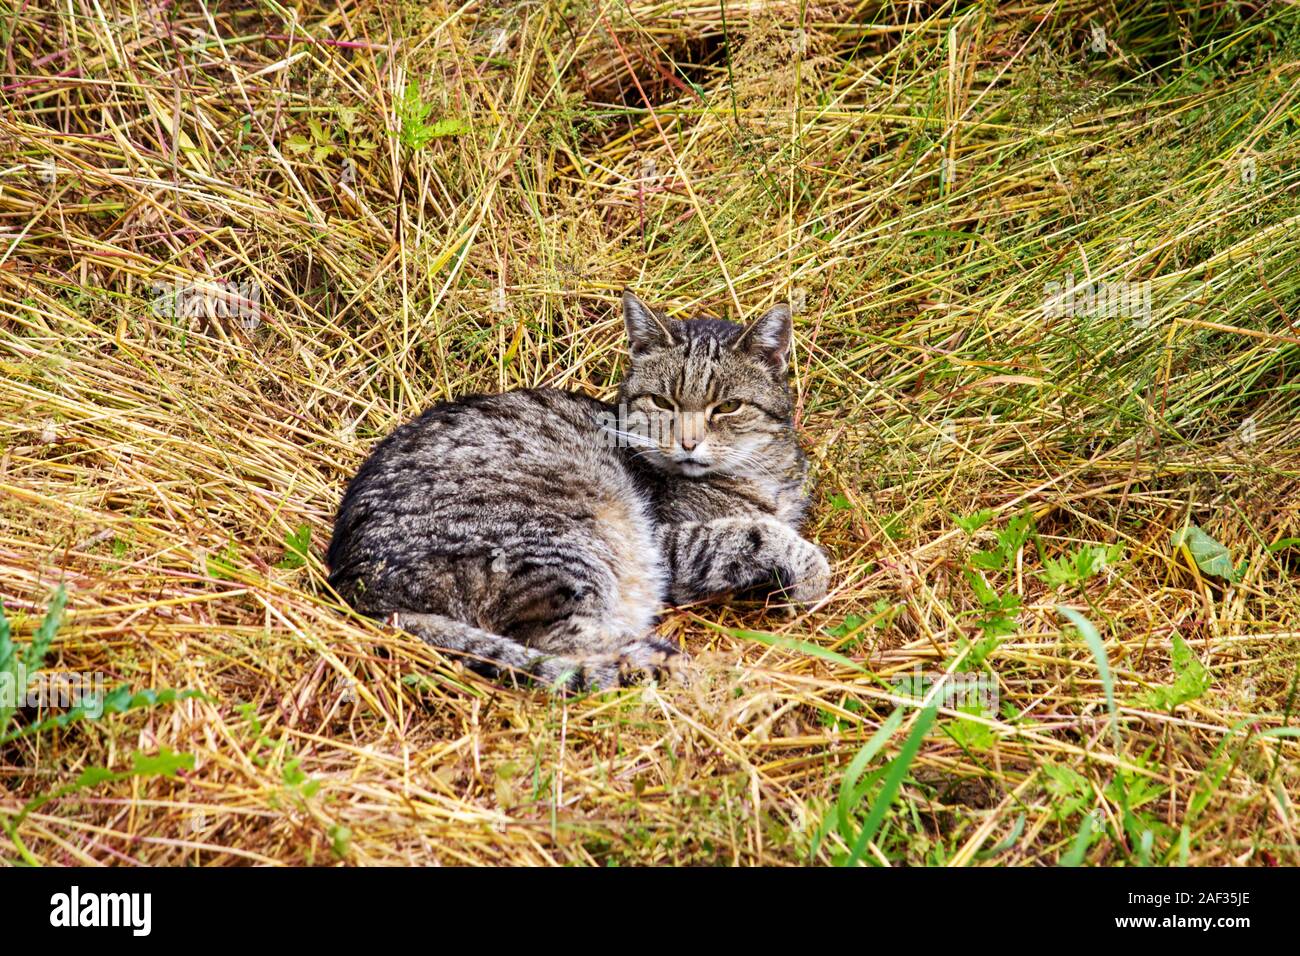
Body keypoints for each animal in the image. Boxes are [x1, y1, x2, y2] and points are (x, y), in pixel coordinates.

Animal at [327, 290, 832, 686]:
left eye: (727, 407)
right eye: (661, 402)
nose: (688, 442)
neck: (762, 474)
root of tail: (354, 584)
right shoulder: (671, 539)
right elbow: (757, 534)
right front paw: (811, 573)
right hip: (571, 540)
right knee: (554, 641)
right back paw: (658, 659)